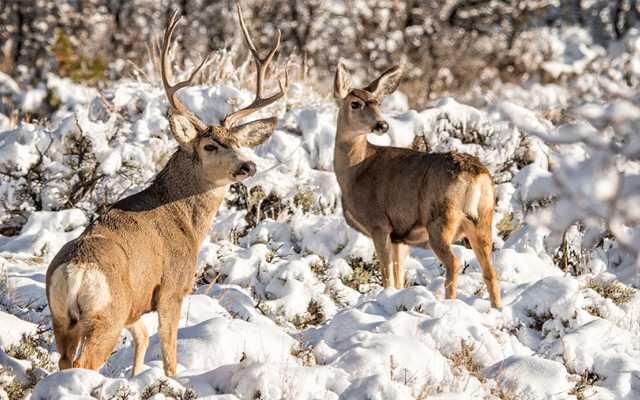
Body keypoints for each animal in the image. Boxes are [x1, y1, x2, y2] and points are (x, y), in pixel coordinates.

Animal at [45, 5, 289, 377]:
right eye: (209, 146)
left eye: (237, 143)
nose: (249, 166)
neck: (185, 220)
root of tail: (75, 272)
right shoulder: (173, 287)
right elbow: (170, 358)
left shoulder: (138, 304)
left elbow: (143, 339)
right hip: (107, 317)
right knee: (85, 364)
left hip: (63, 320)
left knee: (62, 362)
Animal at [332, 63, 501, 308]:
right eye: (355, 103)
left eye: (378, 103)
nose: (382, 125)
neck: (354, 172)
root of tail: (474, 175)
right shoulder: (399, 237)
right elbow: (398, 277)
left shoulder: (379, 223)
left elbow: (387, 276)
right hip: (483, 218)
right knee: (490, 271)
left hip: (440, 219)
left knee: (454, 264)